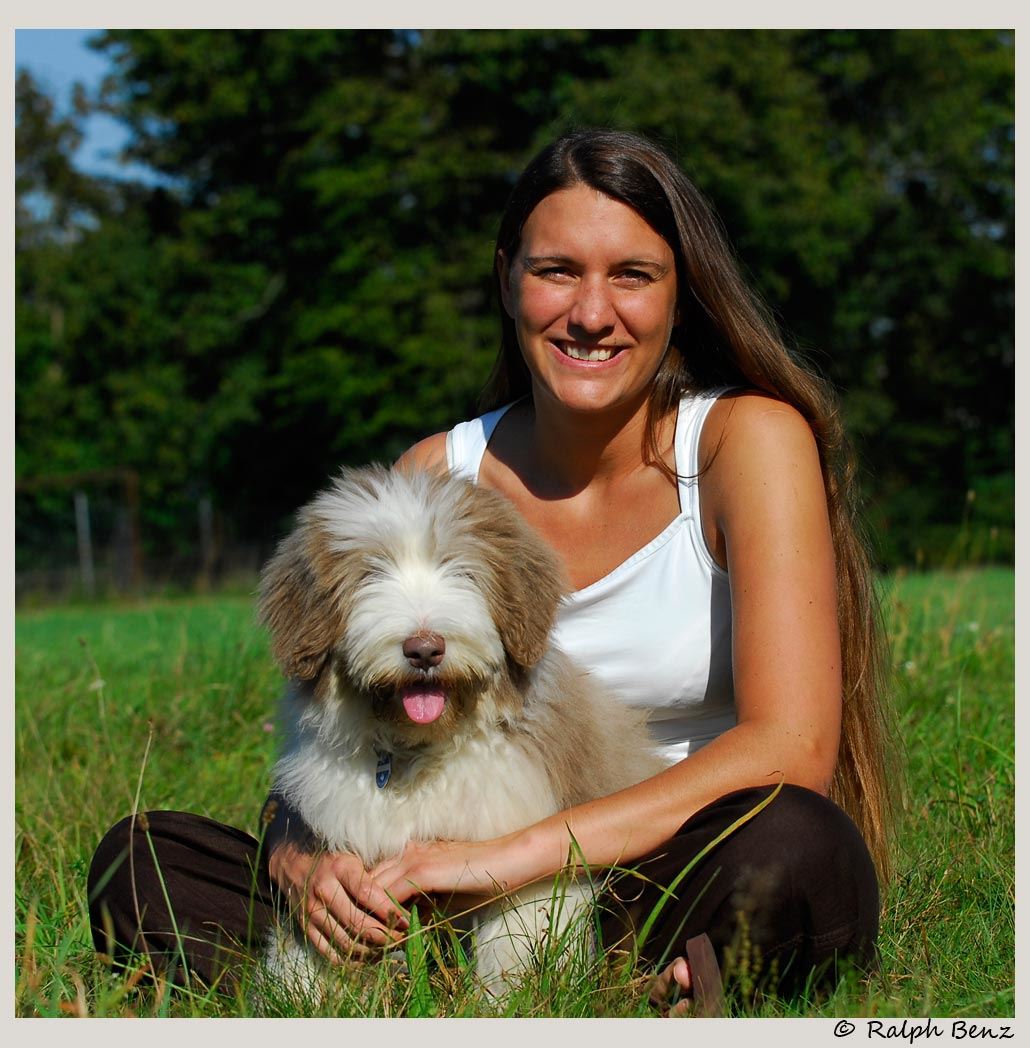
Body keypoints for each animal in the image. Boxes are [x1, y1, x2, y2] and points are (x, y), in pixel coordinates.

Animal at [256, 465, 664, 997]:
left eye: (461, 570)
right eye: (371, 574)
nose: (424, 649)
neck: (416, 753)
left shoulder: (525, 849)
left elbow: (516, 939)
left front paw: (505, 999)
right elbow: (315, 935)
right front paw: (296, 992)